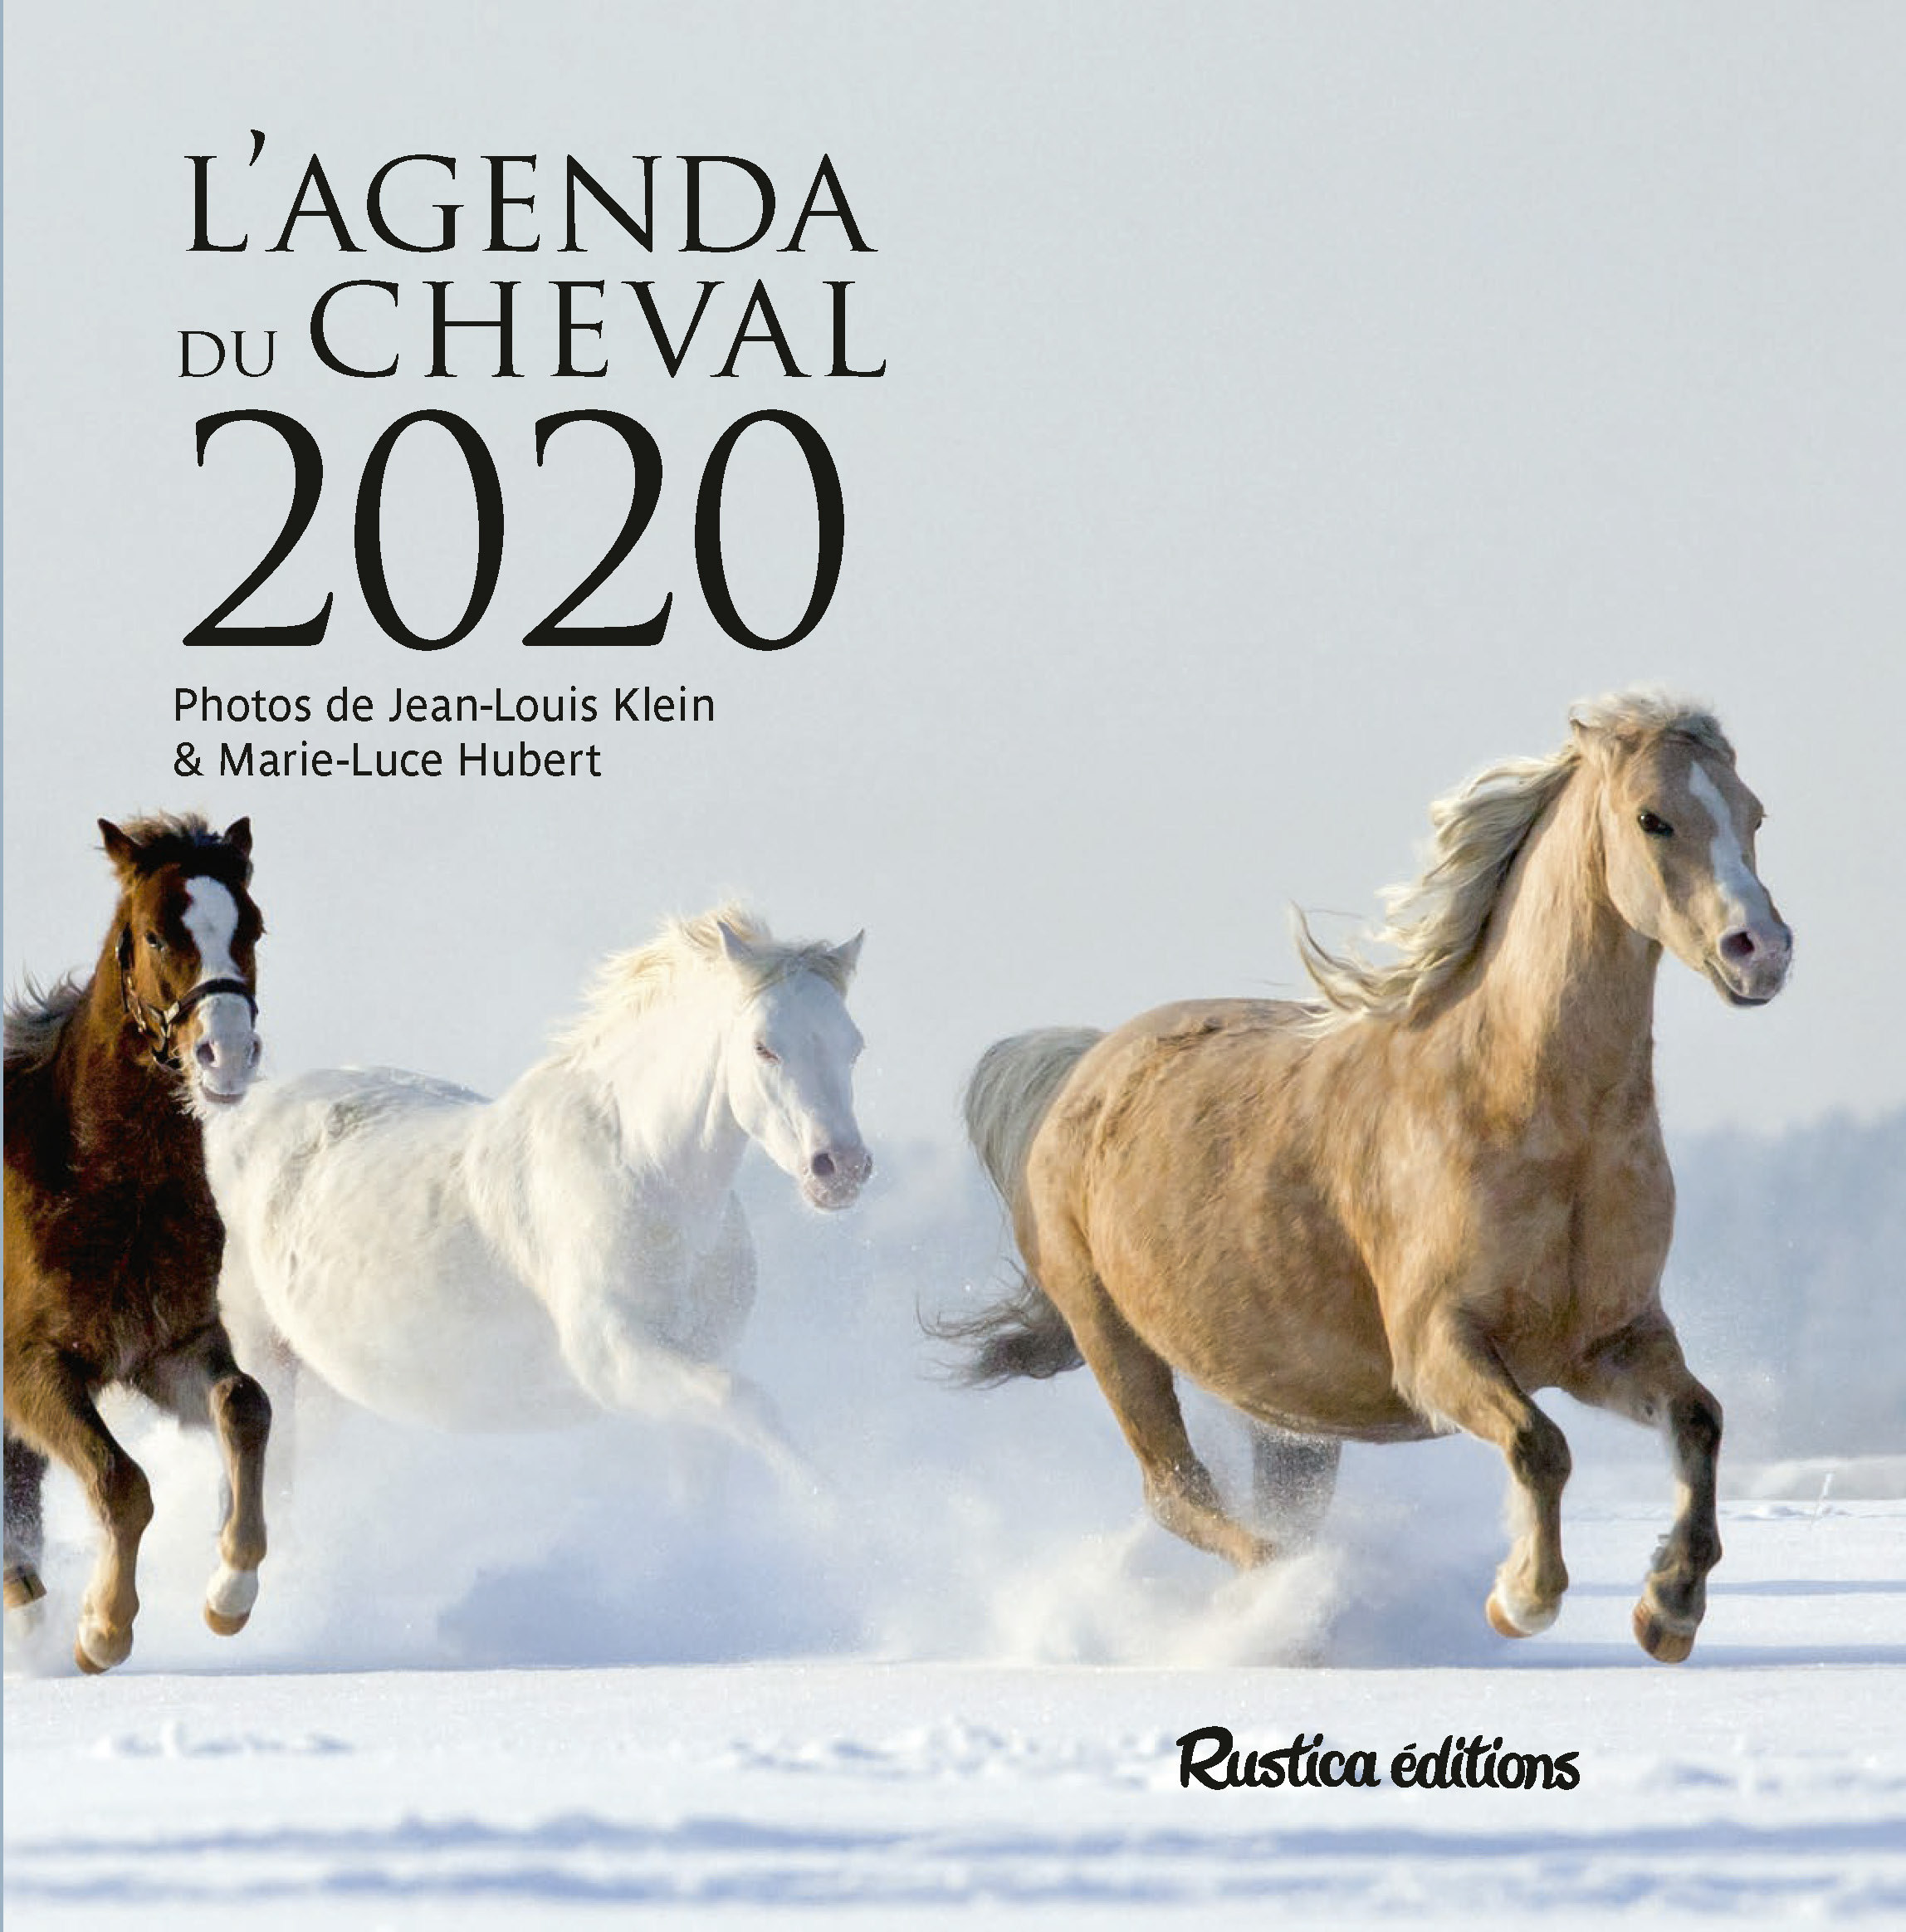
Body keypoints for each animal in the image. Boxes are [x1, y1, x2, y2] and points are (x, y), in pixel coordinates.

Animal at [5, 814, 271, 1673]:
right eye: (155, 934)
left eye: (252, 927)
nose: (226, 1054)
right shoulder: (32, 1369)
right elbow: (121, 1480)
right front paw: (102, 1629)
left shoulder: (168, 1345)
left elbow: (244, 1405)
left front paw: (230, 1595)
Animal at [207, 907, 870, 1445]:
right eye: (764, 1047)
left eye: (854, 1045)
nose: (841, 1168)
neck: (652, 1184)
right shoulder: (619, 1362)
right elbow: (748, 1404)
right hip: (266, 1362)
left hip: (325, 1387)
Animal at [946, 692, 1792, 1662]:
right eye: (1653, 817)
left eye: (1754, 813)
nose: (1760, 949)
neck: (1527, 1113)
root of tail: (1078, 1071)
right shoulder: (1435, 1346)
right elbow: (1539, 1443)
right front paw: (1522, 1598)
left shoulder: (1608, 1339)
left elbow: (1698, 1418)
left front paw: (1668, 1608)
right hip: (1111, 1336)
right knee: (1181, 1494)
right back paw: (1286, 1603)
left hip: (1281, 1409)